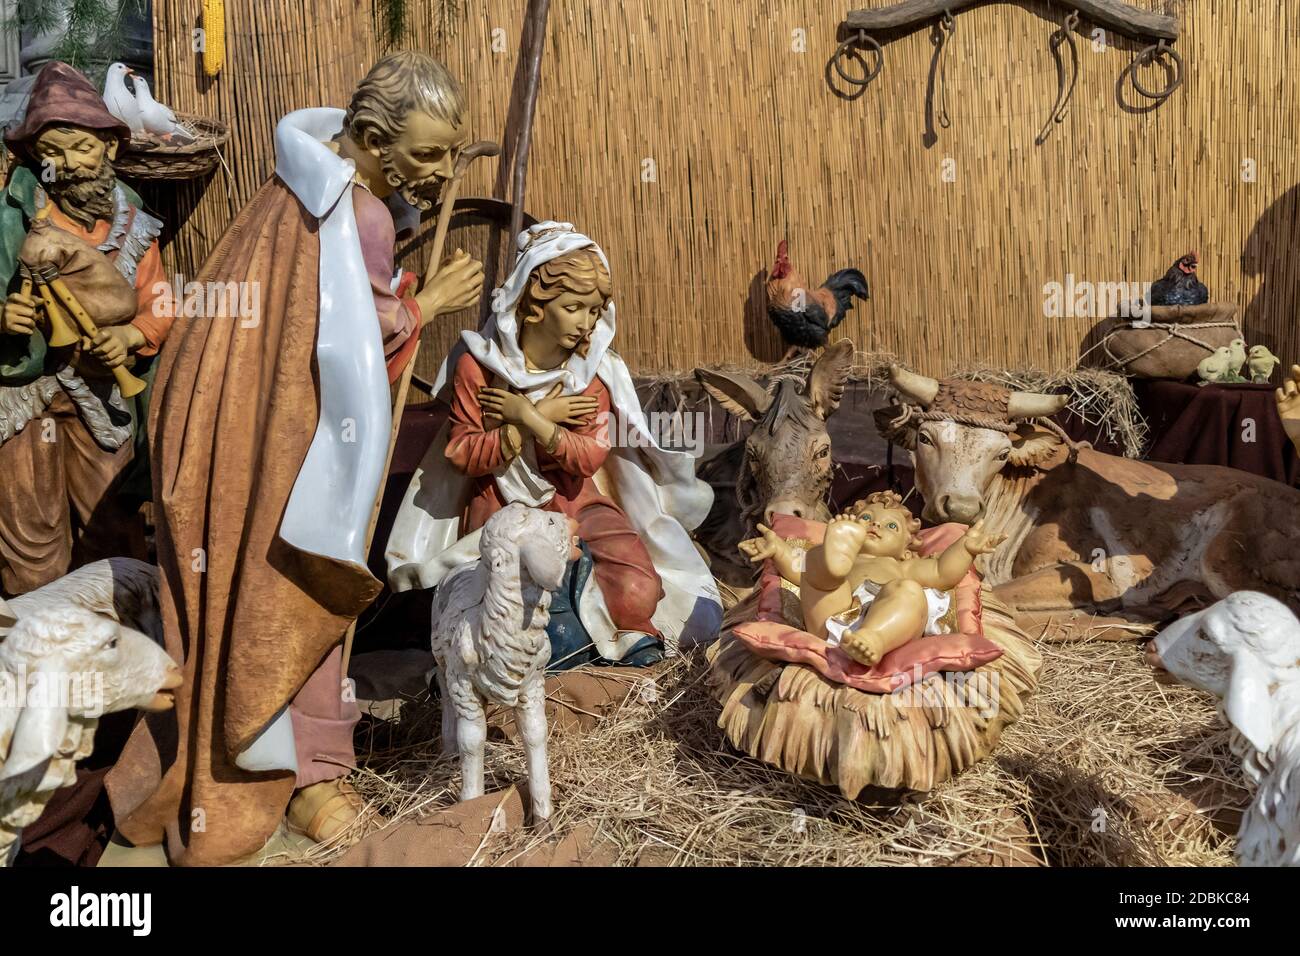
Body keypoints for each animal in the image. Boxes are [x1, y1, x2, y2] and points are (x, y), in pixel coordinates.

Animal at [431, 504, 579, 827]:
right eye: (550, 522)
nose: (571, 520)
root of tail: (460, 567)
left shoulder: (532, 685)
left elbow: (535, 733)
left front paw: (543, 815)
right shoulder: (465, 688)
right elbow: (472, 740)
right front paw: (471, 803)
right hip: (441, 660)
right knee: (444, 694)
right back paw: (447, 751)